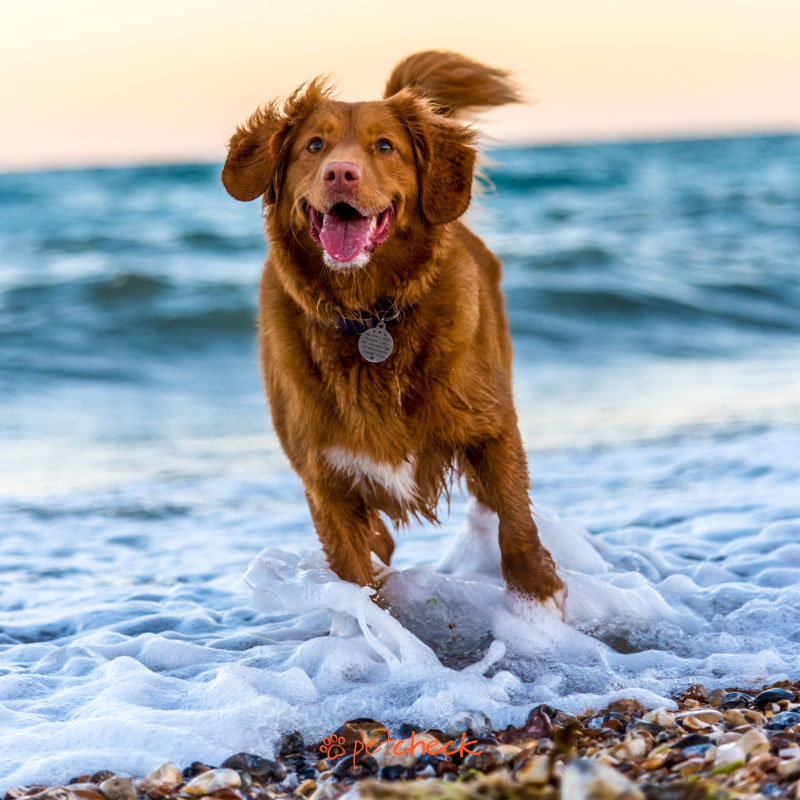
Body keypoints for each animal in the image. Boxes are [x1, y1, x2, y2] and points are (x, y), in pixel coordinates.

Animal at [222, 50, 564, 616]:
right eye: (314, 145)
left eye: (385, 146)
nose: (341, 172)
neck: (370, 315)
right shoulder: (324, 479)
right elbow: (356, 576)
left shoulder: (491, 425)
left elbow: (515, 518)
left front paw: (538, 594)